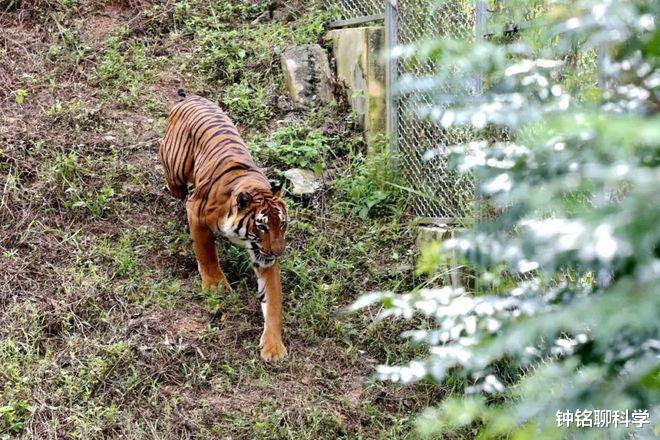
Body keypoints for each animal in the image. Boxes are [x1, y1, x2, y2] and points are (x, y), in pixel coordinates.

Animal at [160, 89, 288, 360]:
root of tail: (190, 97)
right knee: (162, 150)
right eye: (262, 226)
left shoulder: (262, 257)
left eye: (281, 225)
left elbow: (273, 301)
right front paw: (216, 286)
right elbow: (207, 253)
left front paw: (273, 346)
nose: (278, 252)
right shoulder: (196, 214)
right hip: (177, 164)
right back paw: (176, 189)